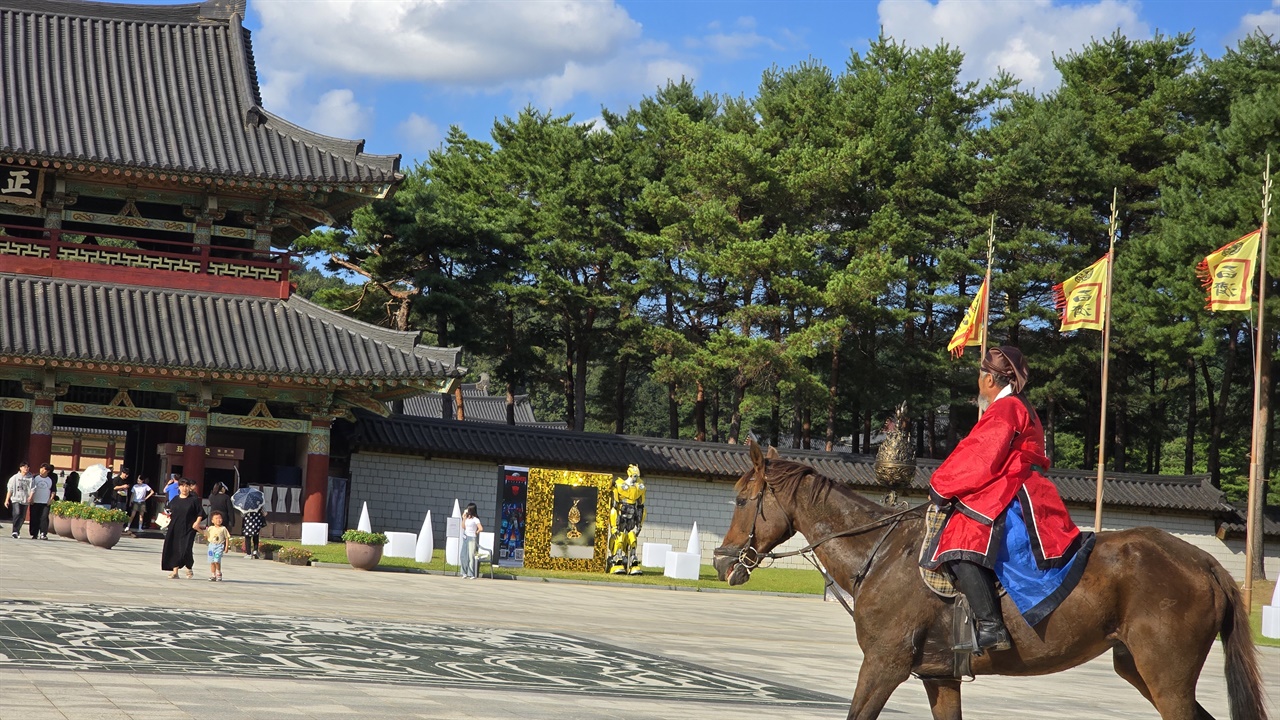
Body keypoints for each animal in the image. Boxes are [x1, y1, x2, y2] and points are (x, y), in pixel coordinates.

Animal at [711, 438, 1269, 717]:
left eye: (740, 499)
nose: (720, 561)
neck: (879, 553)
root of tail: (1203, 561)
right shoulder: (939, 675)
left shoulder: (884, 664)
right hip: (1138, 668)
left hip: (1166, 677)